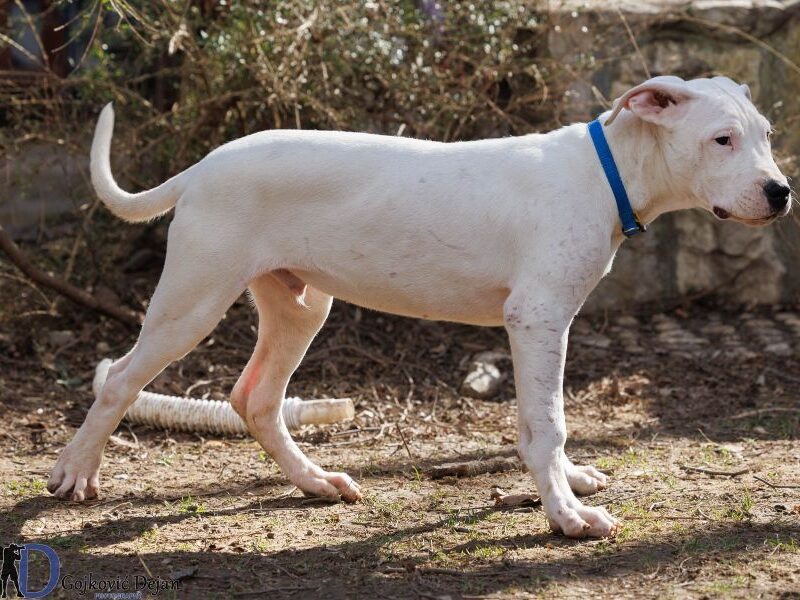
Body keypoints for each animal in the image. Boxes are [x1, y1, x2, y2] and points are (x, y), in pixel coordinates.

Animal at [47, 75, 792, 540]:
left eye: (764, 134)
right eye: (722, 139)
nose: (781, 191)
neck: (605, 170)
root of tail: (203, 167)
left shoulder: (538, 327)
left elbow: (542, 420)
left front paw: (569, 483)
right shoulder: (538, 320)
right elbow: (548, 423)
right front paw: (566, 514)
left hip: (300, 306)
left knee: (254, 398)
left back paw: (315, 482)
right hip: (194, 298)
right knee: (120, 378)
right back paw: (75, 473)